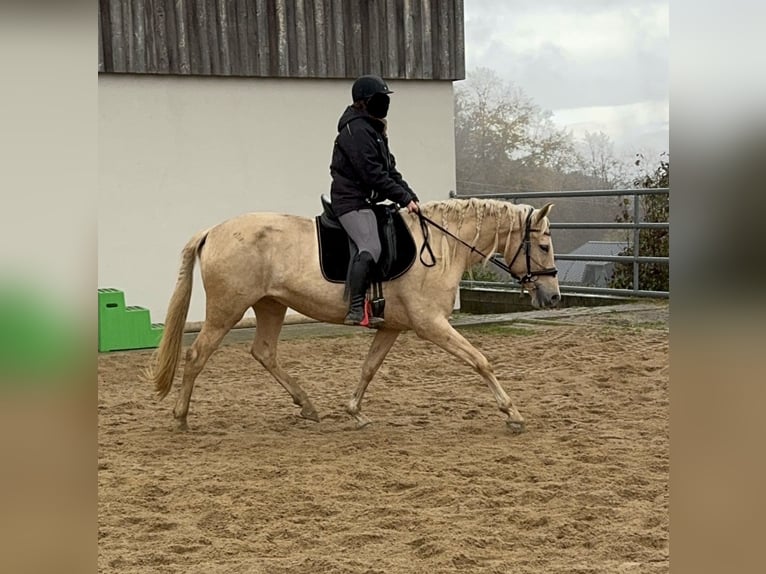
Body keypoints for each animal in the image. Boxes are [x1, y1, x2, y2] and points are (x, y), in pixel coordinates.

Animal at [146, 197, 564, 432]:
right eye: (544, 246)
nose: (554, 296)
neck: (442, 246)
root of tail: (212, 231)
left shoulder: (392, 327)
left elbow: (369, 367)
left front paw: (355, 412)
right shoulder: (431, 325)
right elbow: (480, 360)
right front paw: (512, 413)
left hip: (271, 305)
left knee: (264, 352)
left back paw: (308, 406)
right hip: (226, 310)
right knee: (196, 356)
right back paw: (181, 418)